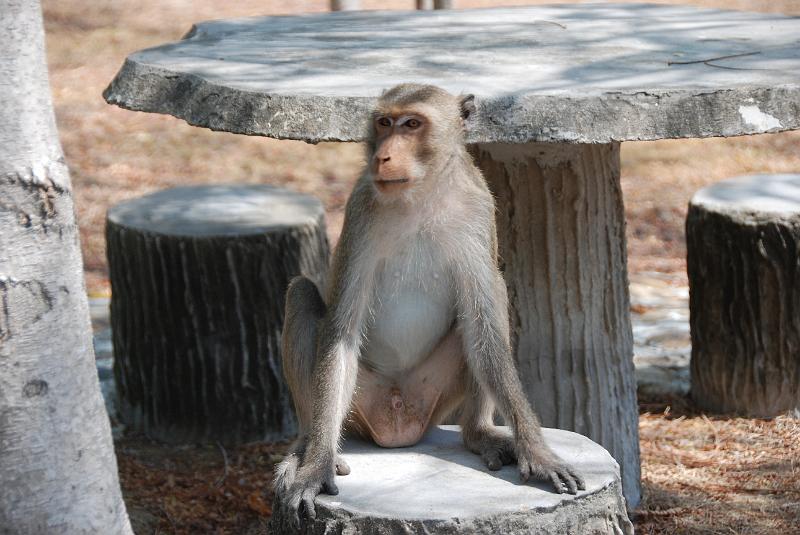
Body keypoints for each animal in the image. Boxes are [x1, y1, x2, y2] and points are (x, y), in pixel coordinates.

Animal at [274, 84, 580, 524]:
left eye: (412, 124)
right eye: (384, 122)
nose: (383, 156)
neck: (421, 195)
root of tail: (398, 428)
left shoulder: (478, 208)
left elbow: (483, 326)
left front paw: (537, 452)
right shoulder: (361, 210)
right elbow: (342, 331)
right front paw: (315, 468)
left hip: (433, 394)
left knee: (492, 296)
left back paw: (477, 433)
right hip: (359, 404)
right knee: (300, 292)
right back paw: (308, 446)